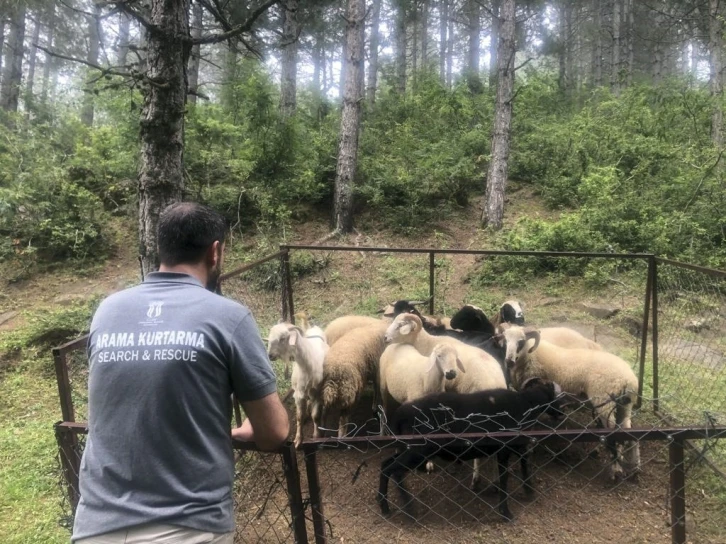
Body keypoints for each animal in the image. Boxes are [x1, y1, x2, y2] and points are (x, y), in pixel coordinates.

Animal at [378, 376, 564, 520]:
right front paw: (505, 512)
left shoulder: (516, 446)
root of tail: (401, 413)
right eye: (556, 396)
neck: (524, 404)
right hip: (418, 450)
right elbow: (504, 478)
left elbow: (524, 462)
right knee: (395, 470)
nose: (562, 413)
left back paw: (384, 507)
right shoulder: (504, 450)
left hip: (409, 448)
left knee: (386, 465)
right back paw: (409, 509)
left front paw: (529, 490)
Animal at [494, 324, 644, 480]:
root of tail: (628, 380)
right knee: (629, 432)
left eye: (521, 341)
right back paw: (635, 468)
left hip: (605, 402)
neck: (530, 355)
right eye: (505, 341)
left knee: (613, 435)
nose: (509, 361)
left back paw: (615, 470)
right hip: (624, 405)